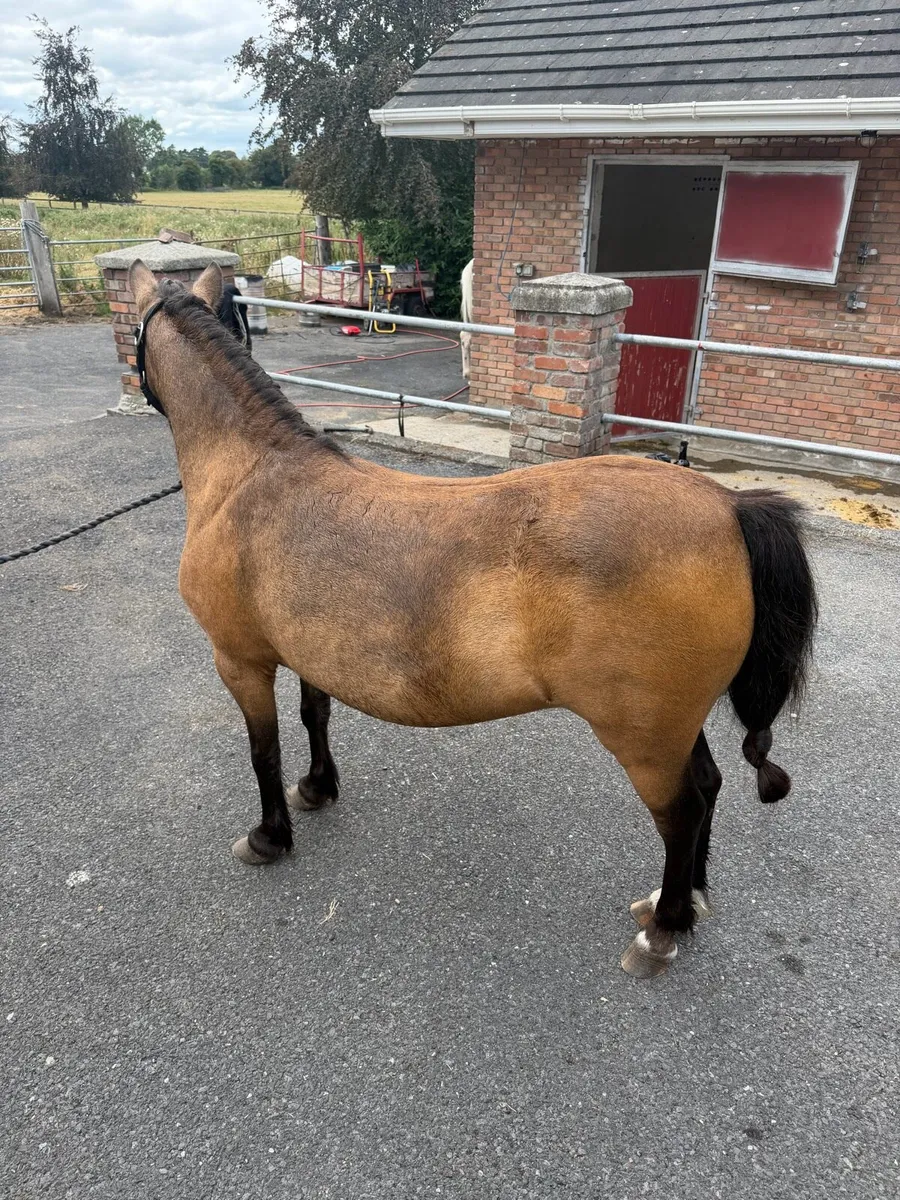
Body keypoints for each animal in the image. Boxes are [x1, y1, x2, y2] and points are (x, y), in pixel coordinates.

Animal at [129, 259, 817, 979]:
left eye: (135, 333)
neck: (252, 475)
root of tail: (729, 507)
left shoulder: (240, 658)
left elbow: (263, 751)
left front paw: (268, 837)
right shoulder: (306, 649)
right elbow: (314, 715)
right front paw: (317, 787)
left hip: (645, 738)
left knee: (681, 813)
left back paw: (664, 927)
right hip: (674, 724)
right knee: (708, 786)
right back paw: (685, 899)